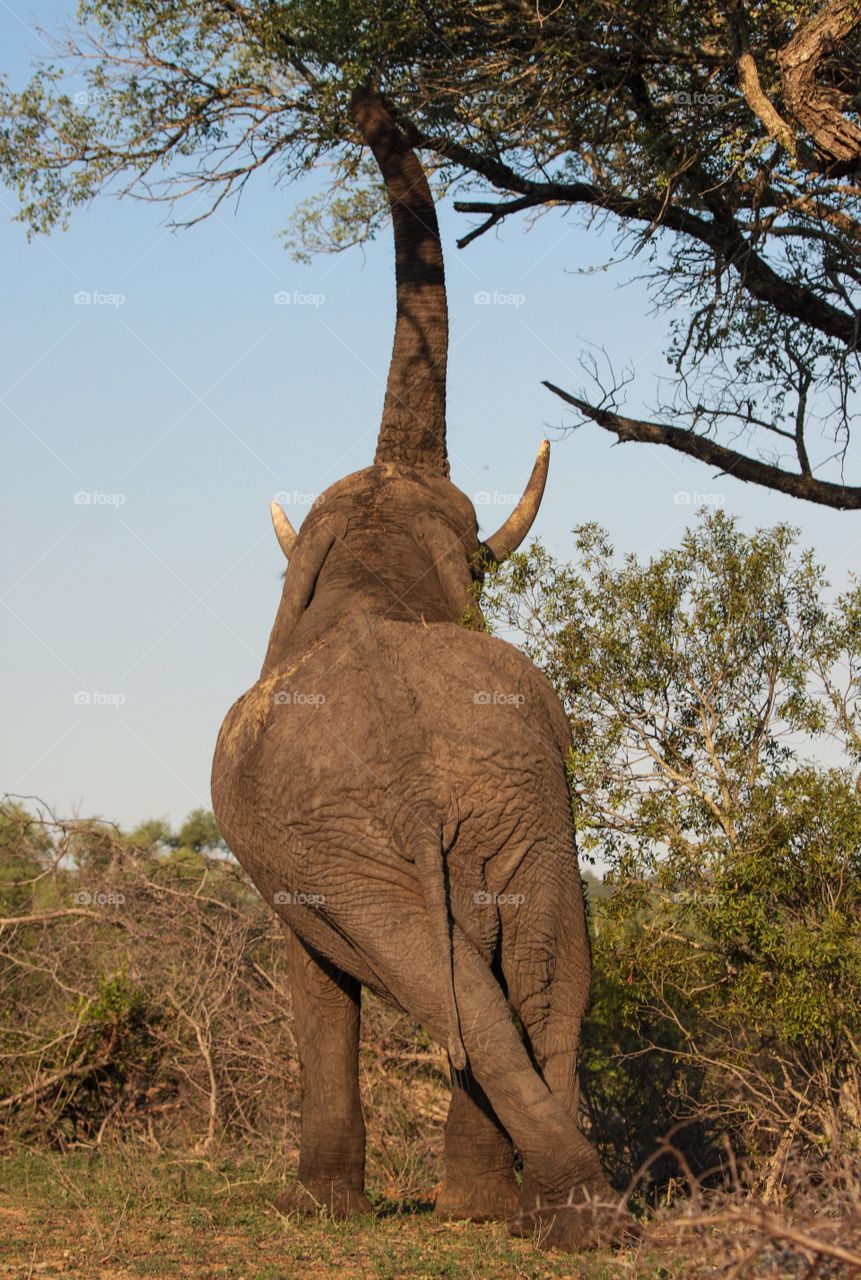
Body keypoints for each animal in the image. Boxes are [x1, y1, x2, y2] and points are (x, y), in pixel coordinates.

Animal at [211, 87, 624, 1251]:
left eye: (473, 542)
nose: (362, 101)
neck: (371, 564)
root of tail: (414, 780)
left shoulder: (301, 861)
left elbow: (314, 981)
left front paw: (314, 1209)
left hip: (367, 840)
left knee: (466, 993)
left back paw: (521, 1209)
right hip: (514, 809)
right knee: (540, 979)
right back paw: (560, 1213)